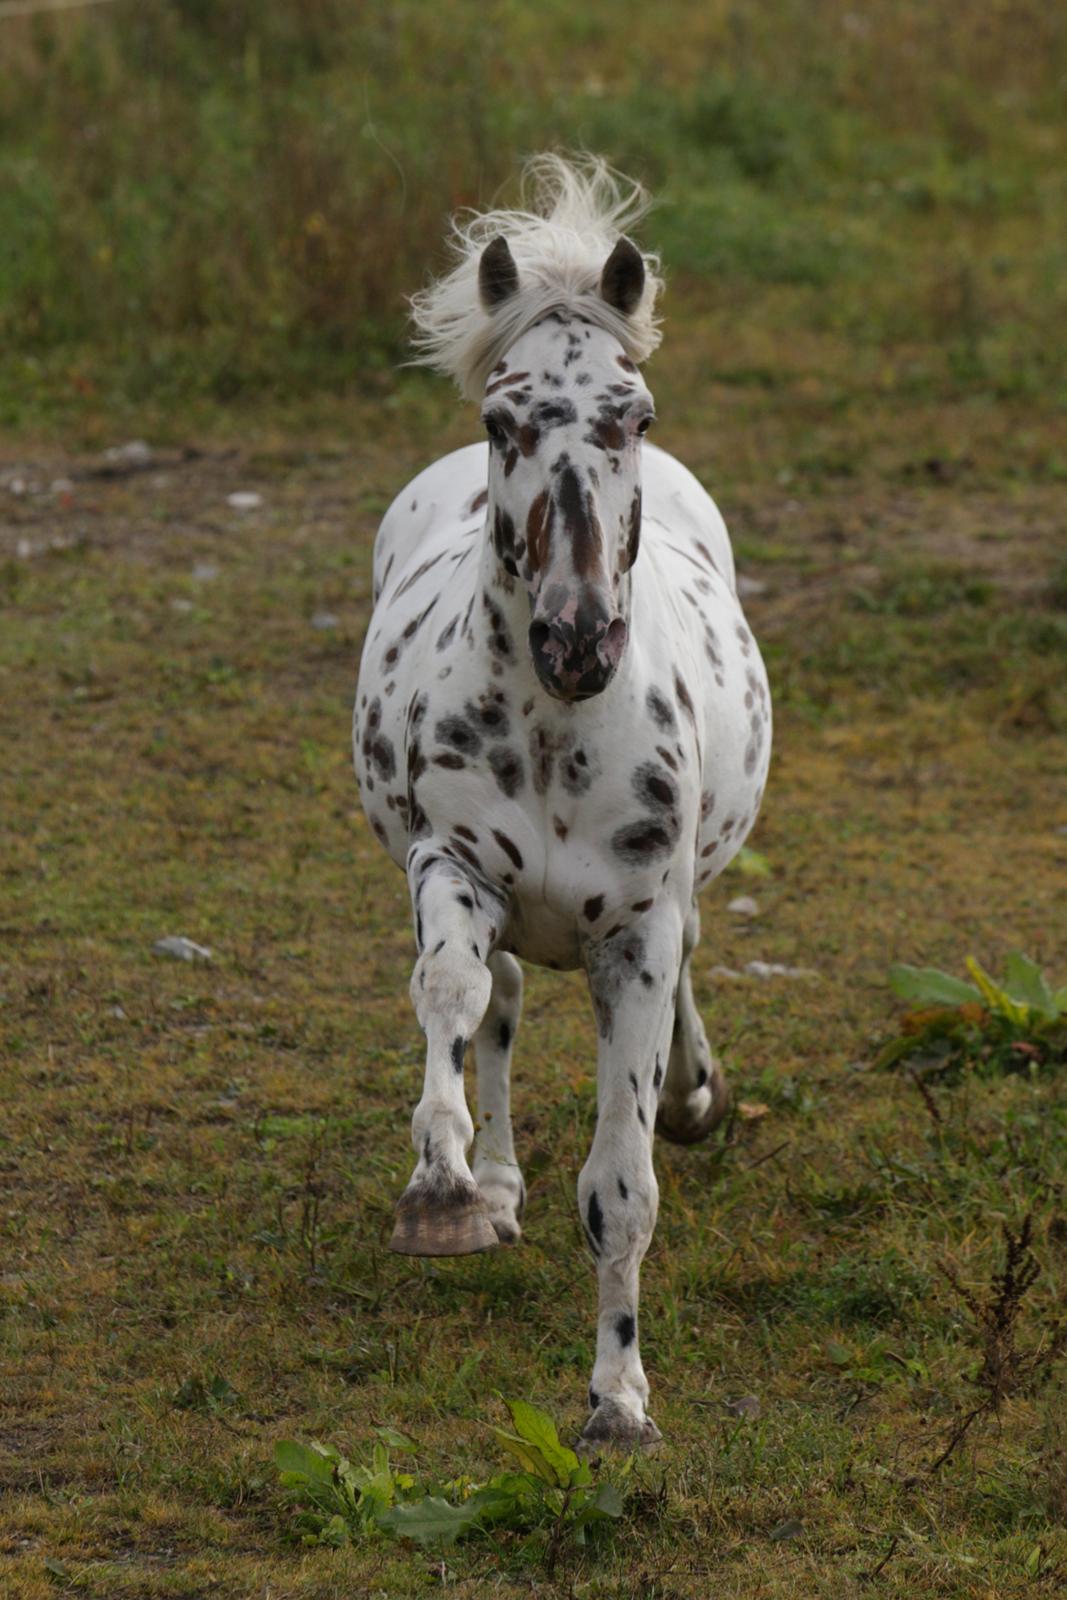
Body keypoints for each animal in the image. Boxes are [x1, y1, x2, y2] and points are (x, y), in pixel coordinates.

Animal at [355, 152, 771, 1452]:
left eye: (633, 417)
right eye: (502, 419)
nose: (576, 639)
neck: (555, 730)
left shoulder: (635, 928)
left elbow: (621, 1183)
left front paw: (617, 1401)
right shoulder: (451, 865)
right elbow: (449, 992)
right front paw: (443, 1189)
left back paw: (692, 1094)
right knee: (493, 1005)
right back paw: (490, 1182)